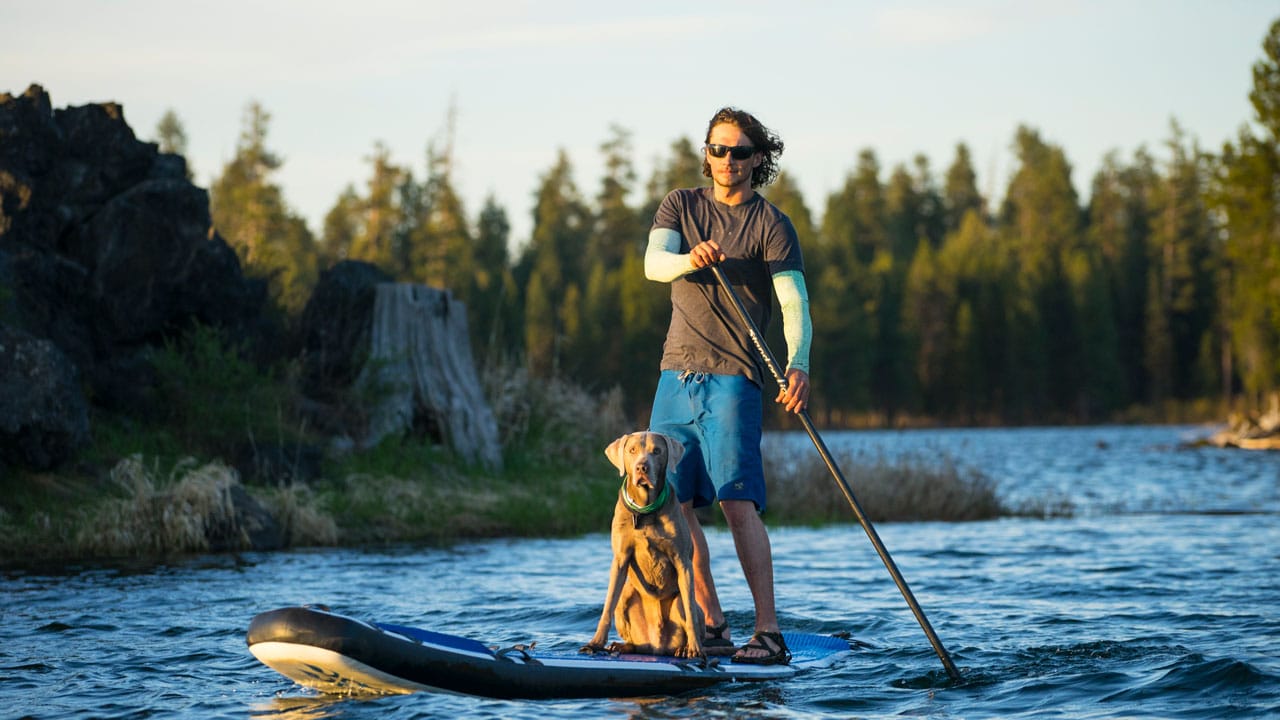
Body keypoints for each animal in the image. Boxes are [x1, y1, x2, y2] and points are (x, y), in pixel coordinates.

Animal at [583, 427, 706, 661]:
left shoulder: (682, 561)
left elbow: (690, 609)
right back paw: (621, 646)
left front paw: (695, 648)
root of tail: (657, 646)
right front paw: (595, 643)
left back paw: (683, 648)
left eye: (657, 451)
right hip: (626, 597)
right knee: (629, 627)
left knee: (686, 607)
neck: (645, 510)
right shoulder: (620, 558)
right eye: (632, 450)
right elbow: (607, 604)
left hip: (678, 602)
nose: (642, 467)